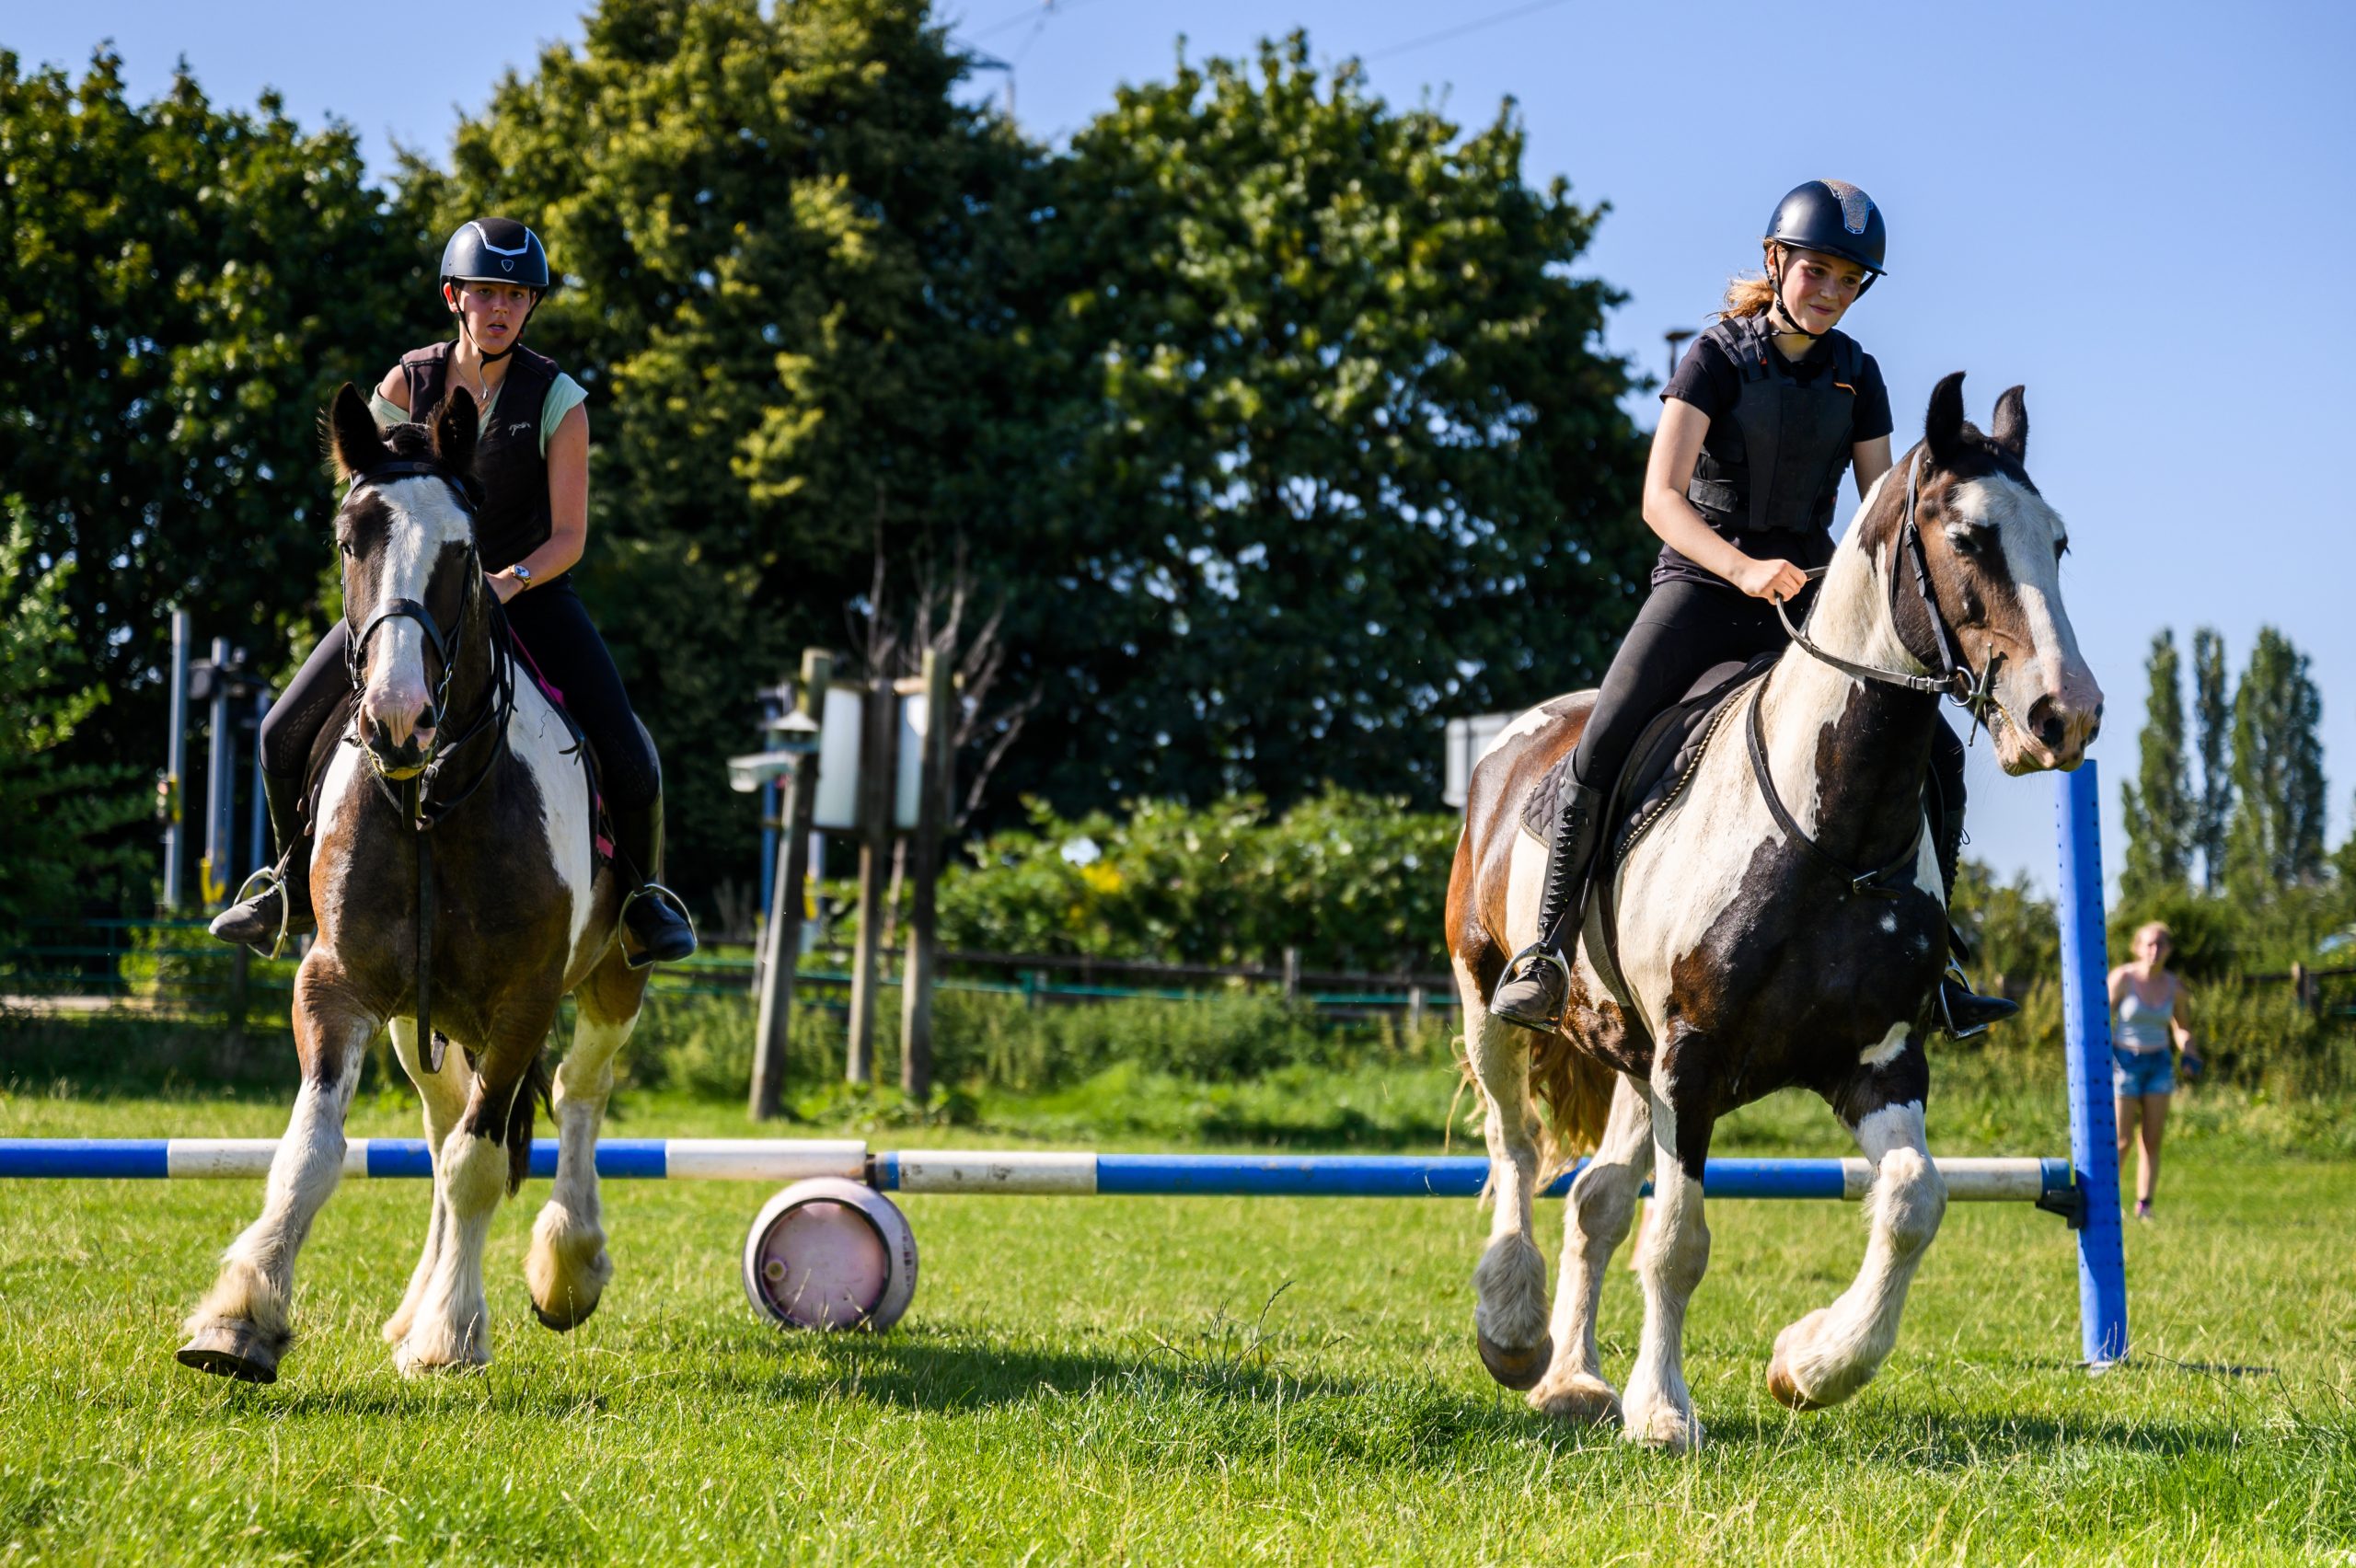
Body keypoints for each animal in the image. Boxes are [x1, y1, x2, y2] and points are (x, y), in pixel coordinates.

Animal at [177, 384, 650, 1382]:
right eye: (348, 538)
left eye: (466, 552)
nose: (400, 719)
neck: (431, 802)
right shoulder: (336, 986)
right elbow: (313, 1152)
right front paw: (239, 1319)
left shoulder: (523, 1001)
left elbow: (480, 1162)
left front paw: (453, 1336)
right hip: (414, 1023)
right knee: (439, 1133)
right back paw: (413, 1305)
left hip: (611, 978)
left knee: (577, 1095)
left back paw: (567, 1267)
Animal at [1446, 373, 2102, 1450]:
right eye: (1967, 537)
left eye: (2058, 542)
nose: (2066, 716)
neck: (1830, 835)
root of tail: (1515, 742)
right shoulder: (1694, 1059)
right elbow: (1677, 1238)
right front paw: (1664, 1414)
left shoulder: (1875, 1060)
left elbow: (1914, 1201)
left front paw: (1810, 1365)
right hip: (1487, 999)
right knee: (1516, 1147)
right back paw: (1514, 1333)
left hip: (1630, 1056)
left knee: (1593, 1199)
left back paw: (1576, 1381)